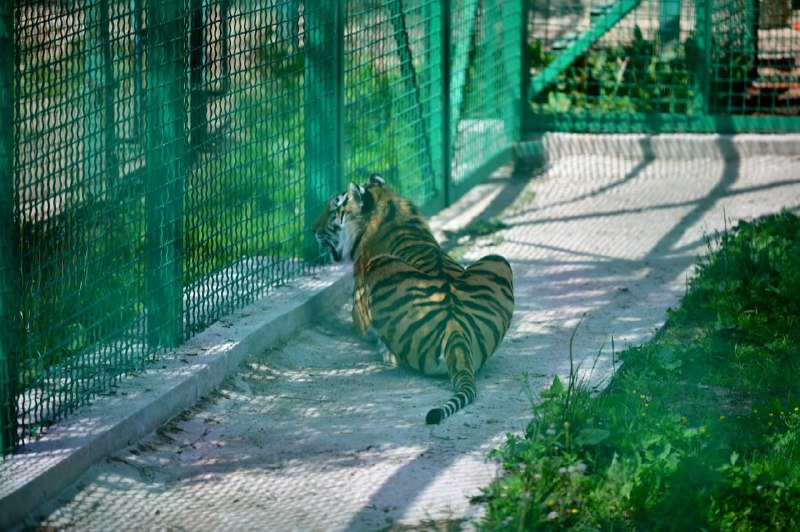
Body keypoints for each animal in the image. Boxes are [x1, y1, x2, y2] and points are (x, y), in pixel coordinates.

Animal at [312, 175, 512, 424]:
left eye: (332, 209)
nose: (312, 228)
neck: (387, 205)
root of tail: (456, 331)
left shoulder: (360, 313)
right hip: (498, 260)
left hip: (381, 265)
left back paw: (385, 352)